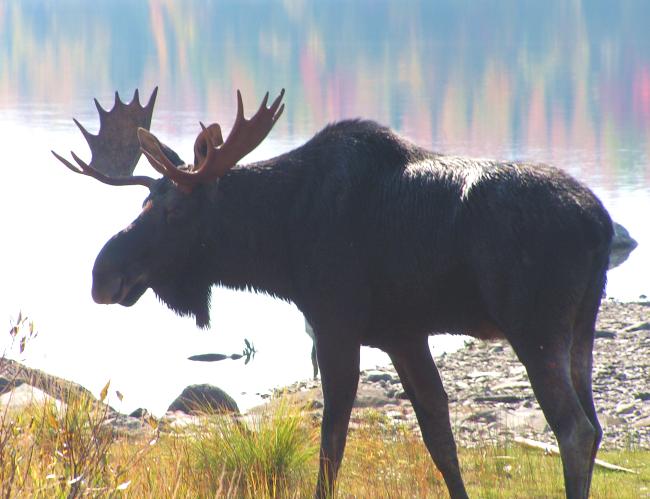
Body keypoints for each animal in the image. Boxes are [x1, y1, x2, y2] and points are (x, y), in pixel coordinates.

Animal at [53, 88, 612, 498]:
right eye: (144, 202)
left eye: (172, 211)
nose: (102, 274)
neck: (279, 246)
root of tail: (601, 224)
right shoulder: (404, 335)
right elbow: (439, 437)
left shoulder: (335, 324)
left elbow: (332, 442)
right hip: (581, 329)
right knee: (594, 426)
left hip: (536, 328)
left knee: (575, 430)